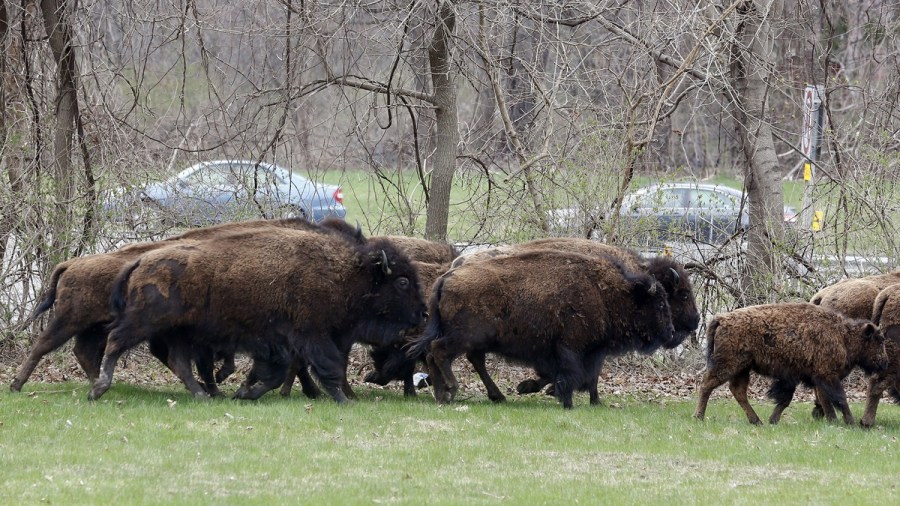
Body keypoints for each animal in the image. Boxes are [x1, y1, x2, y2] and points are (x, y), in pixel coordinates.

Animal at [89, 227, 428, 402]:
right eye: (402, 281)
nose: (423, 313)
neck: (345, 274)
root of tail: (142, 260)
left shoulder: (276, 344)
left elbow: (274, 374)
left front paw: (243, 392)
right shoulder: (311, 337)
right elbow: (329, 368)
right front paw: (343, 400)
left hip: (178, 331)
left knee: (179, 361)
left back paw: (203, 395)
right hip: (145, 322)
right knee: (115, 341)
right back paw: (98, 389)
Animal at [408, 251, 676, 410]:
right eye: (660, 303)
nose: (672, 333)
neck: (606, 293)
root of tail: (446, 277)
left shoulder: (580, 352)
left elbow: (577, 376)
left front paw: (529, 387)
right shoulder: (571, 348)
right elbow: (572, 374)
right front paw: (566, 401)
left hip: (471, 339)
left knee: (443, 355)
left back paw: (450, 395)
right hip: (463, 337)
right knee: (439, 352)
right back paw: (451, 390)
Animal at [692, 302, 888, 424]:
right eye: (878, 341)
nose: (884, 363)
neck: (844, 335)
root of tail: (721, 319)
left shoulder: (811, 377)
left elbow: (796, 399)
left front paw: (773, 420)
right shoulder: (827, 375)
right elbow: (839, 398)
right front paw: (850, 423)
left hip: (742, 369)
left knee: (738, 391)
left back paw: (757, 421)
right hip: (728, 365)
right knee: (707, 385)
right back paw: (698, 417)